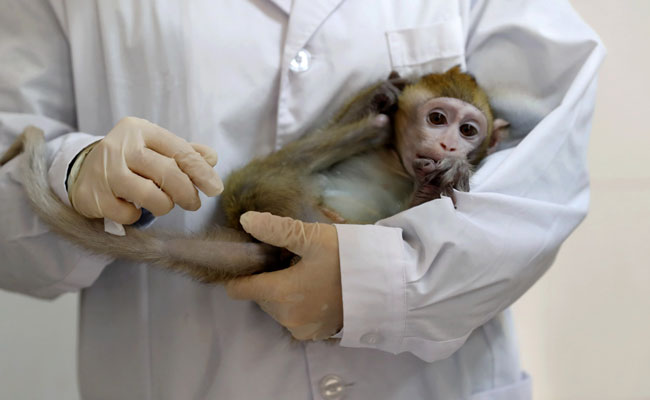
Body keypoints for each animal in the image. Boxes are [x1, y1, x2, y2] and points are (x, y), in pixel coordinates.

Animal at [0, 66, 509, 283]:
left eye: (468, 129)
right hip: (264, 185)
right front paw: (382, 94)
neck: (396, 161)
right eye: (438, 119)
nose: (449, 145)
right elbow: (366, 117)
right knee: (349, 141)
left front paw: (443, 176)